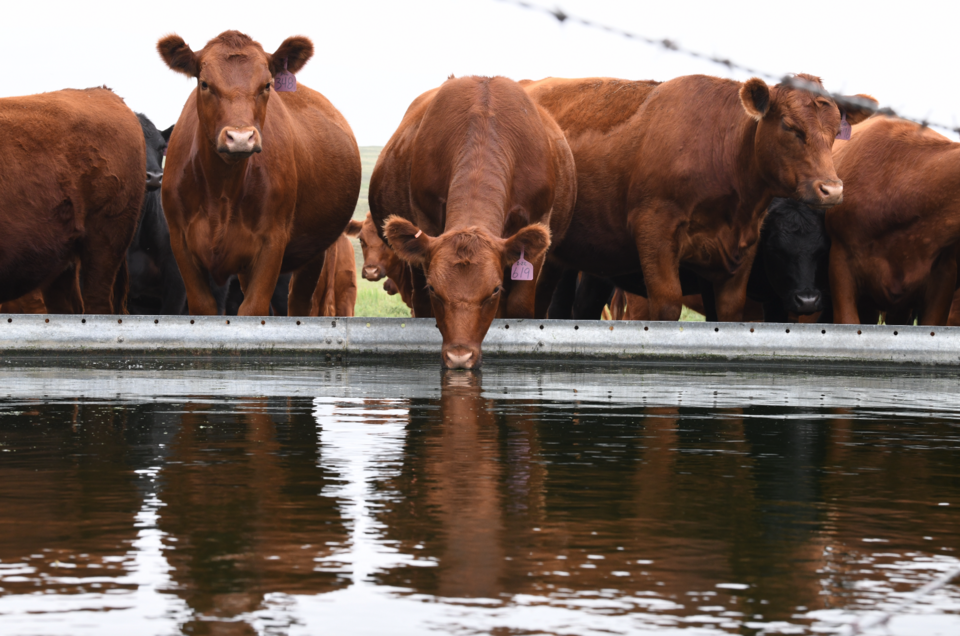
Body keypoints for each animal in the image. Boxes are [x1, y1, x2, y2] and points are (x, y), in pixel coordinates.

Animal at [158, 32, 360, 316]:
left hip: (314, 251)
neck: (222, 190)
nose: (240, 138)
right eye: (205, 84)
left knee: (299, 302)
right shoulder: (181, 242)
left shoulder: (272, 242)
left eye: (266, 85)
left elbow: (253, 309)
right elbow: (203, 307)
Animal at [372, 74, 572, 368]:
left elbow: (520, 306)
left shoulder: (538, 226)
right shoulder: (425, 223)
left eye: (494, 289)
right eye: (435, 289)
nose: (459, 356)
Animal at [524, 76, 876, 320]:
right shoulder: (655, 233)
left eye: (835, 131)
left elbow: (728, 312)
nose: (832, 189)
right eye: (790, 127)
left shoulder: (737, 255)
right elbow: (667, 305)